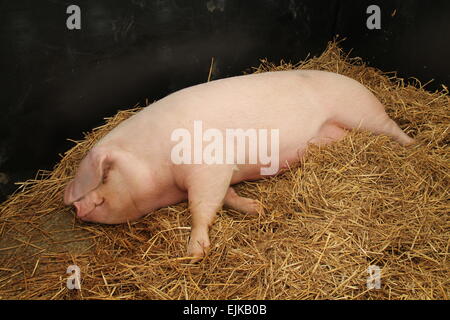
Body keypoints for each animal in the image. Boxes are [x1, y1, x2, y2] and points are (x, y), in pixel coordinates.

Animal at [63, 70, 414, 262]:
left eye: (103, 175)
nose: (76, 207)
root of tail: (360, 83)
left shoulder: (209, 166)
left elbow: (201, 206)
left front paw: (194, 252)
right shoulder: (222, 175)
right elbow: (227, 196)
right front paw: (257, 208)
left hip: (363, 113)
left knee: (393, 128)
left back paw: (416, 144)